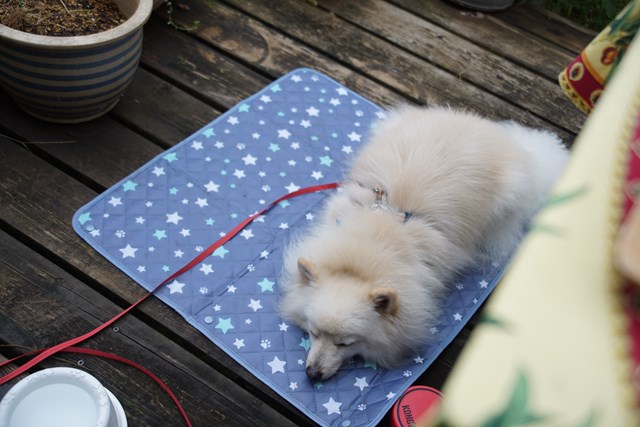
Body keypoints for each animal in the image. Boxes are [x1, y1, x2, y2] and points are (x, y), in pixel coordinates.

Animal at [278, 106, 568, 382]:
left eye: (345, 343)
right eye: (313, 332)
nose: (312, 373)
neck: (366, 251)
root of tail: (508, 140)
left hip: (506, 201)